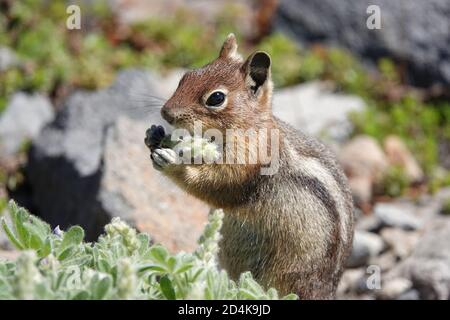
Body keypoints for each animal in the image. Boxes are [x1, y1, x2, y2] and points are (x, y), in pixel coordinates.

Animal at [146, 33, 354, 298]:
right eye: (185, 77)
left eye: (216, 98)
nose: (166, 113)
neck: (249, 127)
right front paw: (154, 135)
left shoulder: (247, 164)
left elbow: (215, 185)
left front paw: (173, 164)